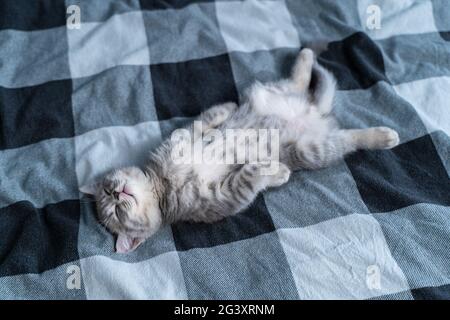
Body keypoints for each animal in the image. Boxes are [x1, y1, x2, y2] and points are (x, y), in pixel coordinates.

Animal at [80, 48, 398, 252]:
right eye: (115, 213)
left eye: (108, 190)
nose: (117, 194)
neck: (162, 184)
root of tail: (316, 114)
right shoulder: (222, 198)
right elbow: (250, 175)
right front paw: (277, 172)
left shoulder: (181, 138)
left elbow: (199, 124)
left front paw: (220, 119)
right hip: (312, 150)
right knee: (348, 140)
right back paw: (383, 135)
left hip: (274, 91)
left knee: (296, 80)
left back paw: (305, 55)